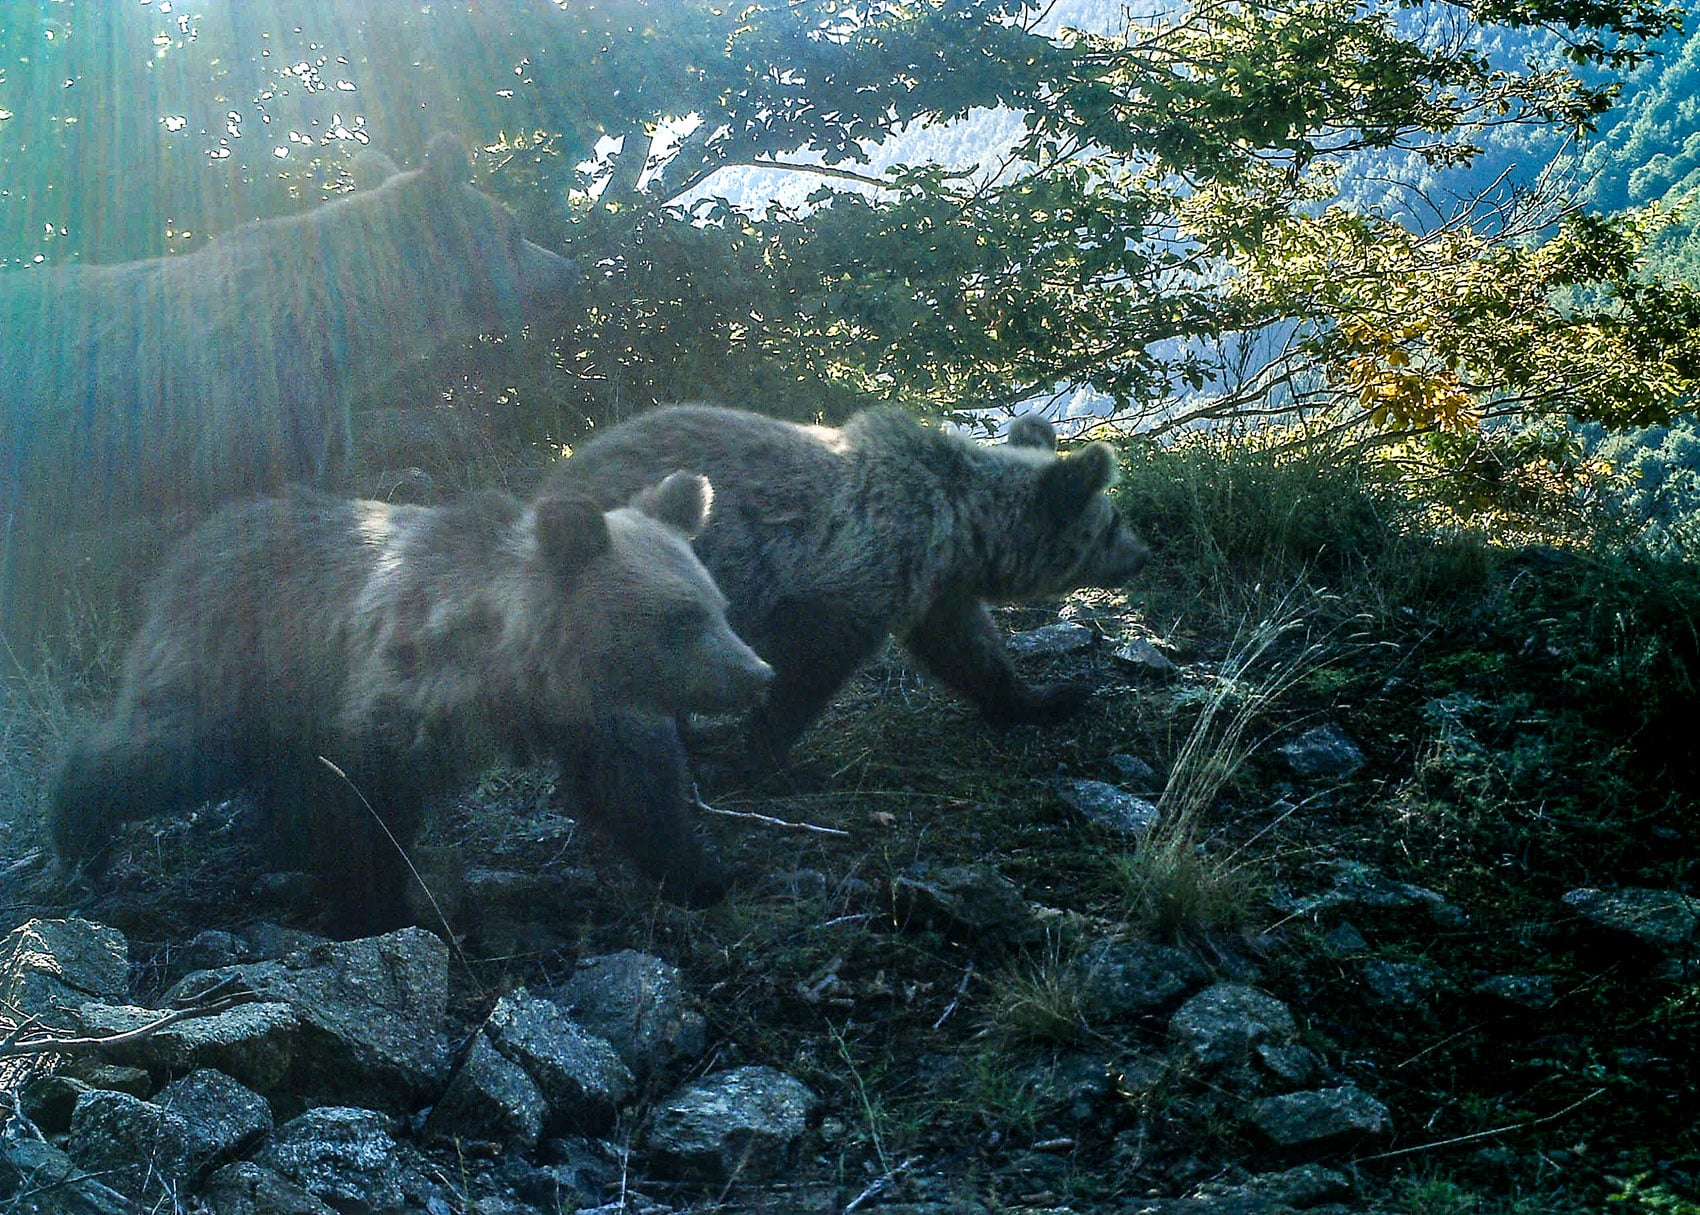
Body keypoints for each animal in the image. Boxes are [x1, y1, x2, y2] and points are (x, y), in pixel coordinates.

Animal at [47, 472, 773, 934]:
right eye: (680, 619)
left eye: (719, 606)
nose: (758, 674)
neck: (516, 667)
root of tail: (192, 543)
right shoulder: (392, 693)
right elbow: (362, 803)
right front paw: (372, 911)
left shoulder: (595, 715)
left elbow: (641, 791)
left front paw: (710, 873)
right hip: (233, 660)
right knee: (169, 748)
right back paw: (78, 832)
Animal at [537, 403, 1150, 790]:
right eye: (1114, 521)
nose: (1142, 554)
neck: (957, 528)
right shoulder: (843, 577)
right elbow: (805, 668)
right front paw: (759, 760)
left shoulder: (933, 589)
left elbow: (969, 651)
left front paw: (1042, 697)